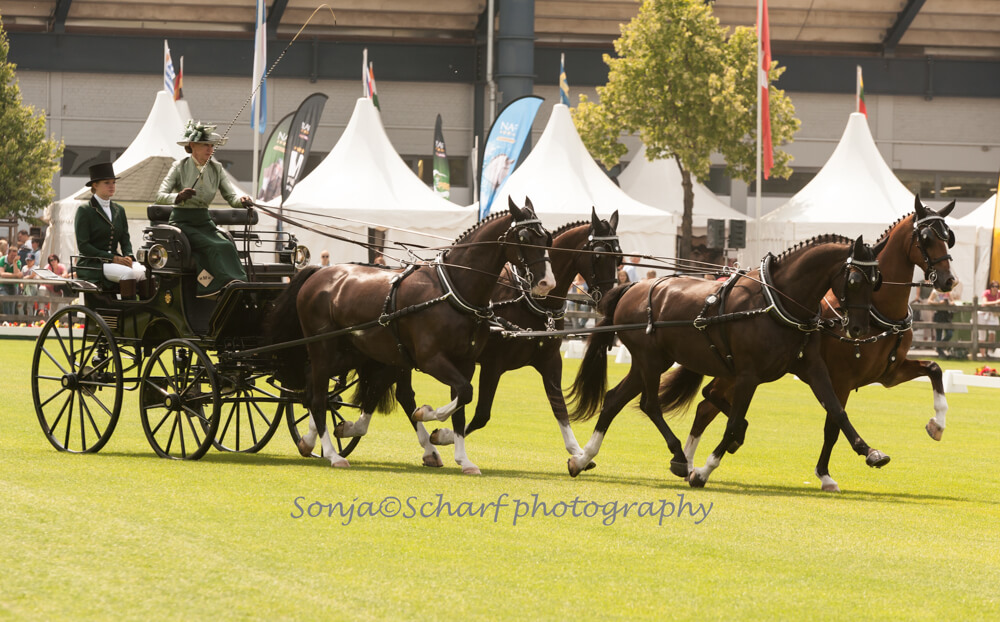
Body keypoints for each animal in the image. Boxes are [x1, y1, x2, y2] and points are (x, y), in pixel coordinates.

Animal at [267, 197, 555, 474]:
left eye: (547, 238)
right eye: (525, 238)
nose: (547, 283)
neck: (453, 289)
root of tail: (318, 272)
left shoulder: (465, 362)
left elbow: (461, 404)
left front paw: (463, 460)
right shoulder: (431, 360)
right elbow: (464, 393)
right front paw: (427, 414)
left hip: (351, 352)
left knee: (312, 388)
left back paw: (310, 441)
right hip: (324, 349)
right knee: (317, 398)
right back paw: (333, 454)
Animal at [421, 208, 622, 466]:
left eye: (620, 257)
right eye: (597, 255)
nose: (612, 297)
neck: (531, 300)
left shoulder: (549, 361)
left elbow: (560, 408)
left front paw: (577, 453)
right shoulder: (492, 364)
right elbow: (482, 414)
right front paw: (445, 434)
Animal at [567, 235, 881, 487]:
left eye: (876, 282)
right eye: (855, 281)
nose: (859, 328)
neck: (776, 302)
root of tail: (630, 288)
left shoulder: (813, 368)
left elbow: (837, 411)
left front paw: (870, 452)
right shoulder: (747, 376)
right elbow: (733, 423)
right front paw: (704, 470)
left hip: (649, 362)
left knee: (613, 400)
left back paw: (582, 458)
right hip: (651, 360)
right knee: (649, 404)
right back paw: (679, 456)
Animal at [683, 197, 957, 491]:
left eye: (948, 237)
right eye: (927, 238)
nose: (948, 280)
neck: (879, 312)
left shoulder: (890, 374)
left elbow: (934, 369)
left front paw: (938, 424)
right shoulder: (842, 380)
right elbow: (833, 425)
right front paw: (825, 474)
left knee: (705, 406)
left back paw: (688, 462)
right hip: (738, 373)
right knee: (709, 400)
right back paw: (696, 460)